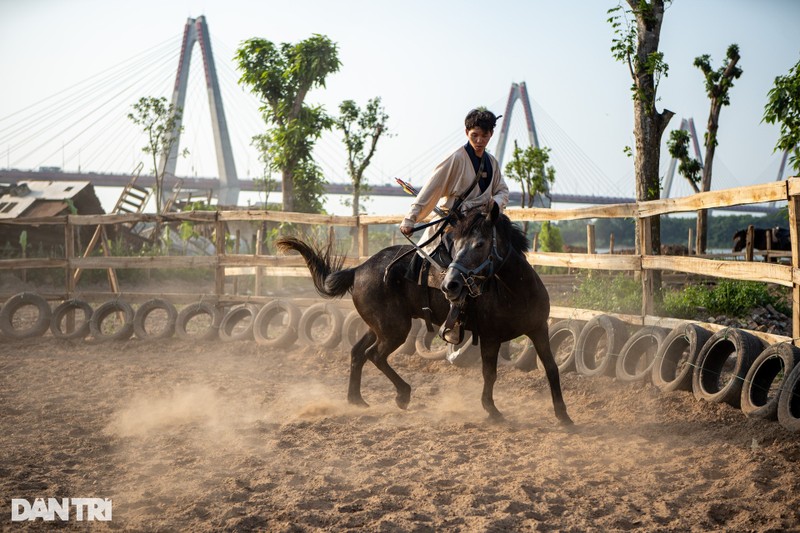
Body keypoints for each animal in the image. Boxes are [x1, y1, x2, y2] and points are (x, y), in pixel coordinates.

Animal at [278, 204, 572, 424]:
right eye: (456, 243)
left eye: (480, 244)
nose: (450, 284)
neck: (514, 291)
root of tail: (358, 269)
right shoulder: (490, 338)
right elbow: (490, 374)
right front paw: (492, 410)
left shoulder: (539, 329)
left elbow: (551, 368)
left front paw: (563, 415)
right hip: (395, 329)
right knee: (375, 355)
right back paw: (402, 394)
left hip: (380, 326)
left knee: (358, 352)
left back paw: (356, 400)